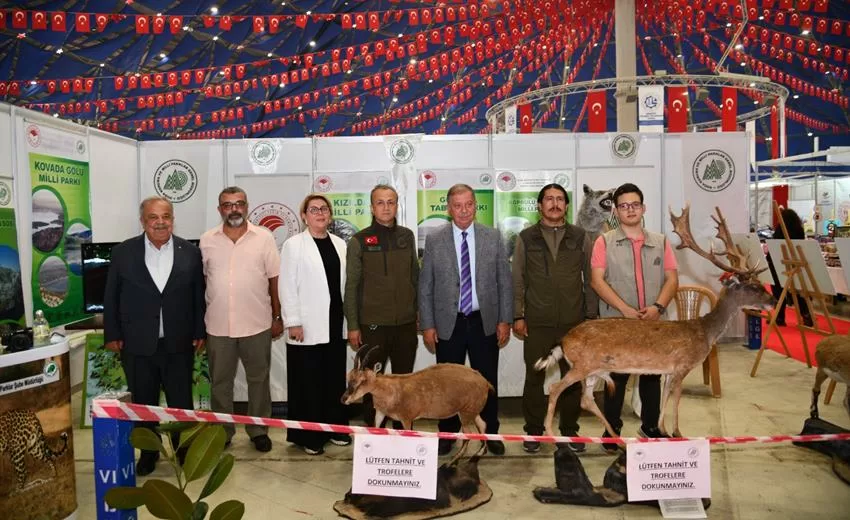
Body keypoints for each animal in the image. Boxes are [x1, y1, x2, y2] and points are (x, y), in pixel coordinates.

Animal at [340, 348, 490, 466]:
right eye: (349, 377)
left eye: (363, 380)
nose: (344, 399)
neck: (391, 389)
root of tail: (485, 382)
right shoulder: (381, 413)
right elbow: (375, 429)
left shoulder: (406, 418)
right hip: (472, 411)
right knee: (482, 425)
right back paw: (478, 454)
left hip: (465, 413)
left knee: (468, 435)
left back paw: (452, 462)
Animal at [536, 205, 776, 436]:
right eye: (753, 286)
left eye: (759, 283)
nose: (773, 300)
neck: (704, 332)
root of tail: (563, 341)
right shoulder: (682, 364)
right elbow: (676, 397)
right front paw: (678, 432)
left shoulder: (668, 370)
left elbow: (665, 396)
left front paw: (662, 430)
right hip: (583, 364)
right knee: (556, 389)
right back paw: (551, 432)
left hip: (594, 369)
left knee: (586, 400)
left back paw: (615, 438)